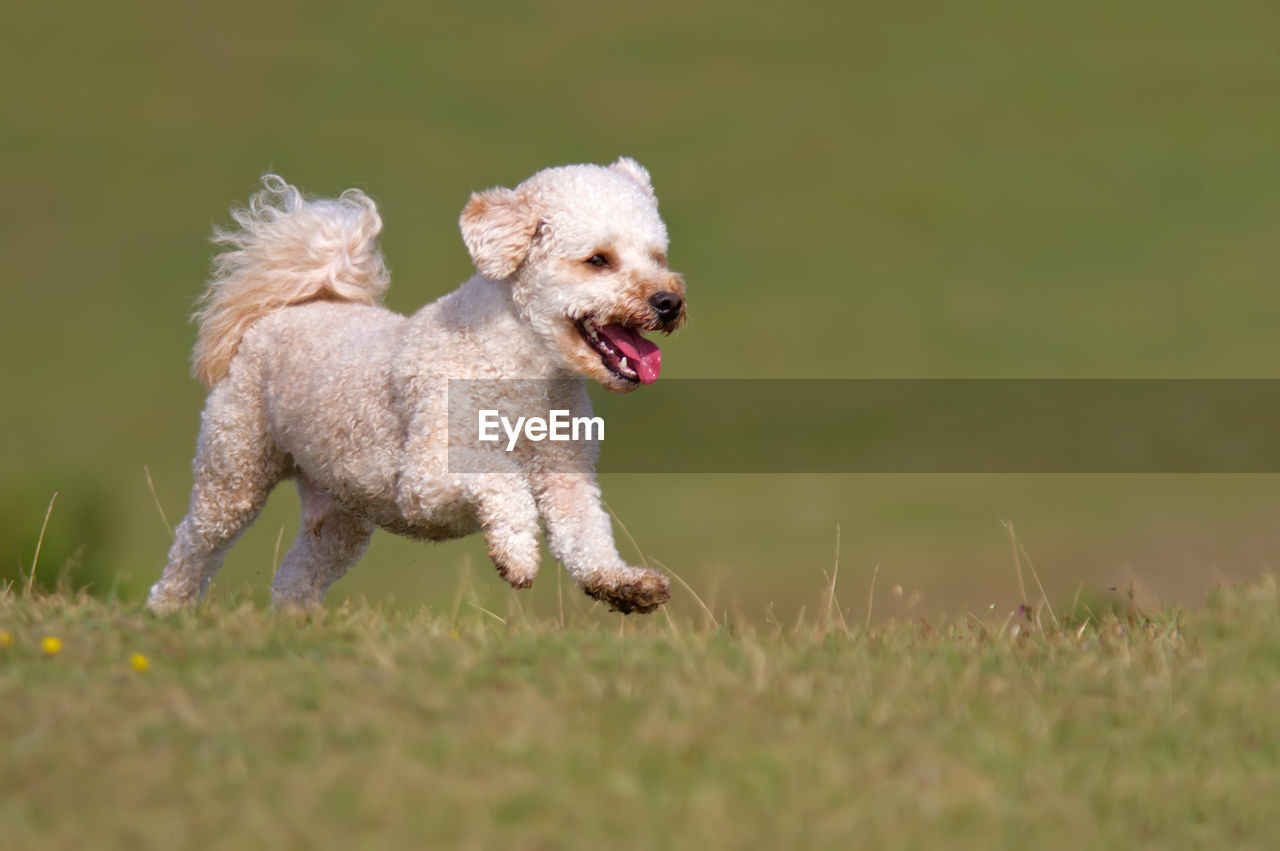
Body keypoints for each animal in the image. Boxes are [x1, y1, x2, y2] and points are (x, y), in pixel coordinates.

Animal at [148, 157, 686, 611]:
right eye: (598, 260)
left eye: (657, 256)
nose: (669, 302)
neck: (520, 369)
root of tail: (289, 307)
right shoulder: (425, 480)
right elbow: (501, 478)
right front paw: (517, 555)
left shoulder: (567, 477)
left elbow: (586, 537)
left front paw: (623, 585)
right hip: (233, 469)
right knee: (193, 546)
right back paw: (168, 611)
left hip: (340, 514)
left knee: (296, 577)